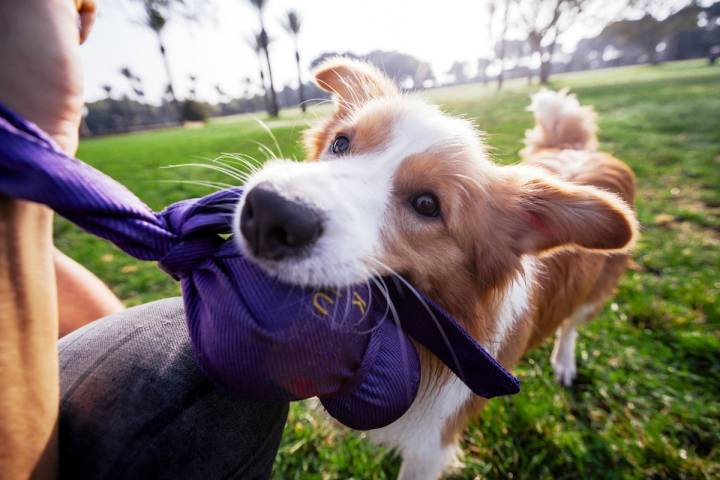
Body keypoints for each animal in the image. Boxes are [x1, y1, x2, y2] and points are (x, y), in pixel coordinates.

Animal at [233, 58, 640, 478]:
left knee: (572, 325)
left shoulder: (432, 445)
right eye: (341, 143)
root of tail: (575, 150)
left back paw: (564, 361)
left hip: (594, 294)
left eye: (427, 204)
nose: (269, 212)